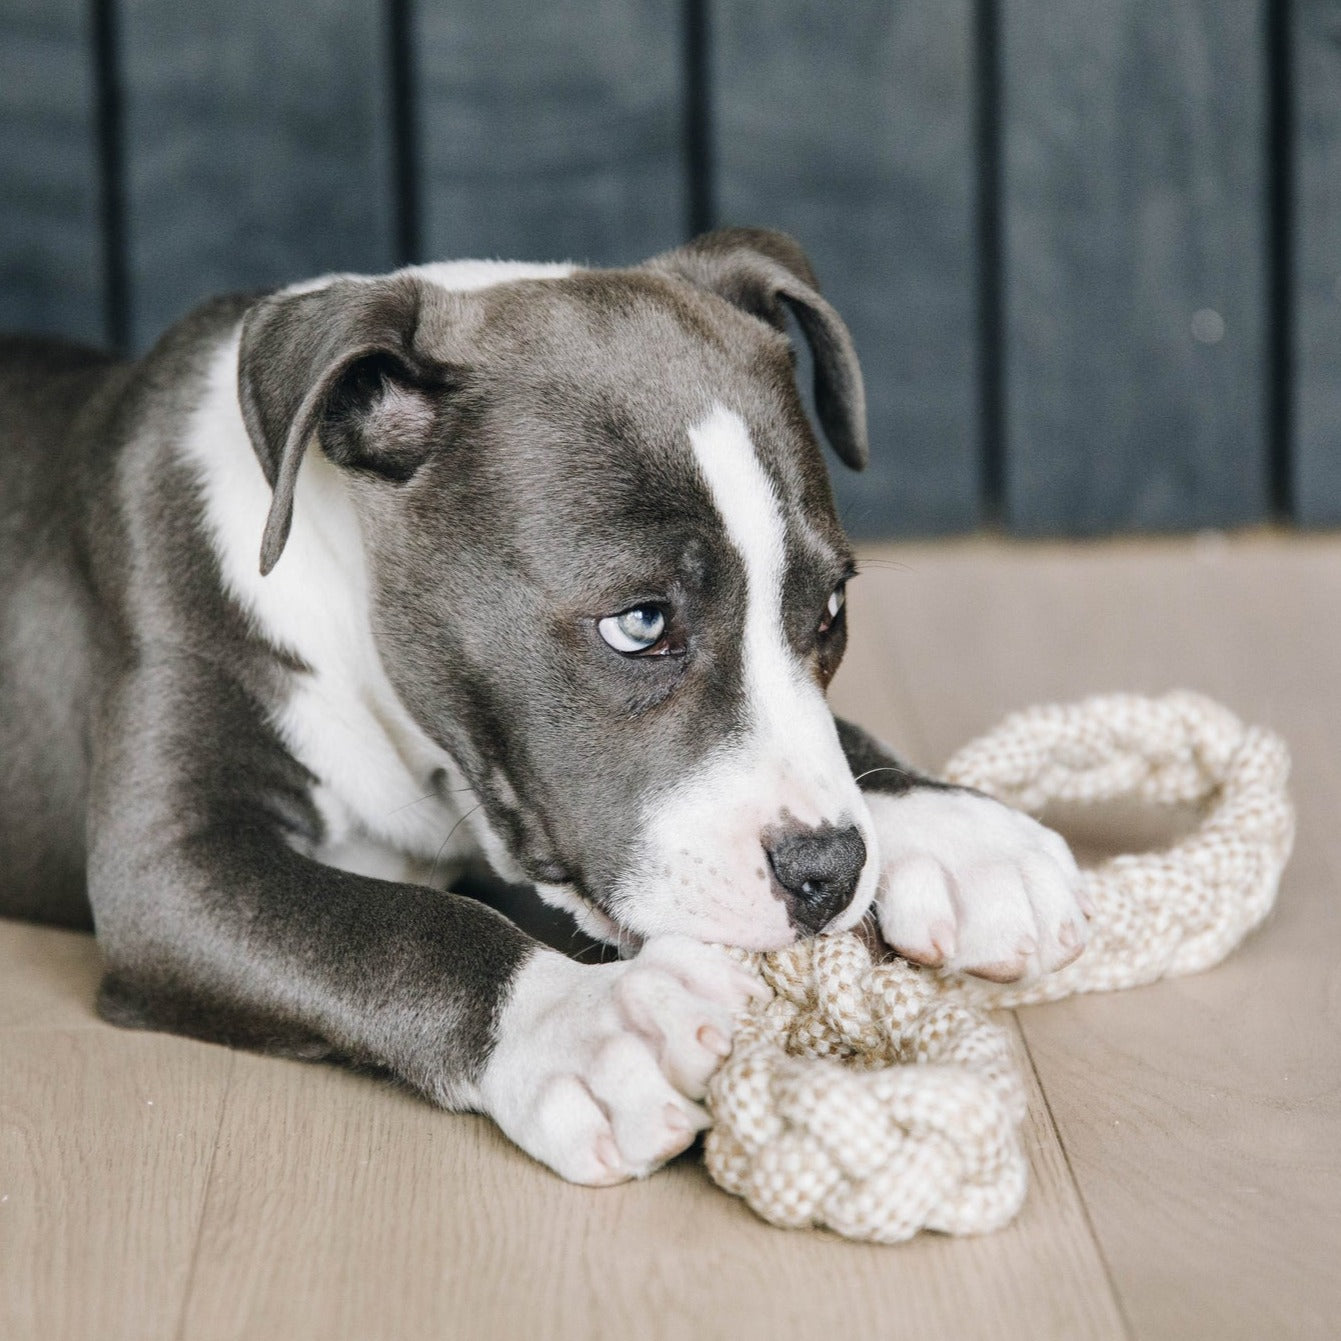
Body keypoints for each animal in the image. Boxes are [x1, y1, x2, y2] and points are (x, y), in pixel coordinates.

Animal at [0, 230, 1083, 1185]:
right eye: (640, 623)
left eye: (829, 613)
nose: (828, 871)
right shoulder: (170, 868)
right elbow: (396, 927)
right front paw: (588, 1023)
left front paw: (956, 831)